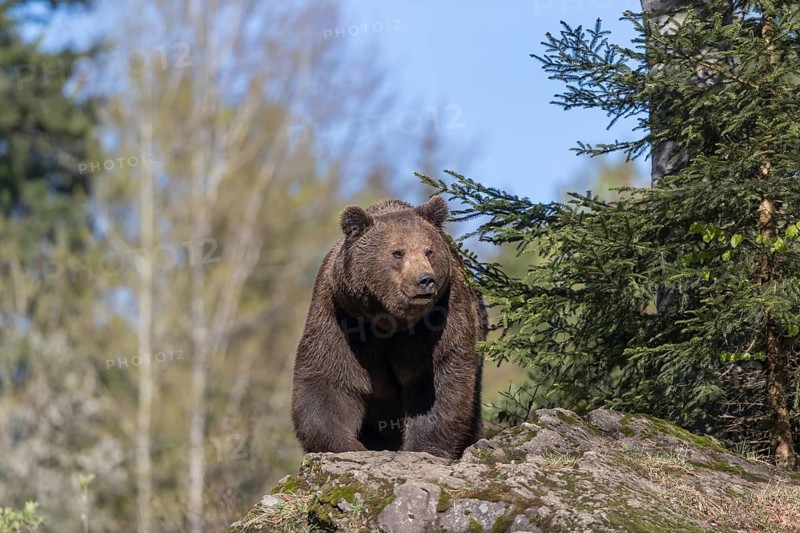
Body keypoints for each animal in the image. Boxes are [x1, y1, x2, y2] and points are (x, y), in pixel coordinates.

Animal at [291, 195, 486, 459]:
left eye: (429, 251)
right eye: (397, 252)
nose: (425, 280)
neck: (387, 319)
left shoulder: (441, 316)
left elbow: (437, 377)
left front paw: (424, 447)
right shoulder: (341, 316)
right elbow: (329, 378)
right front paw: (350, 445)